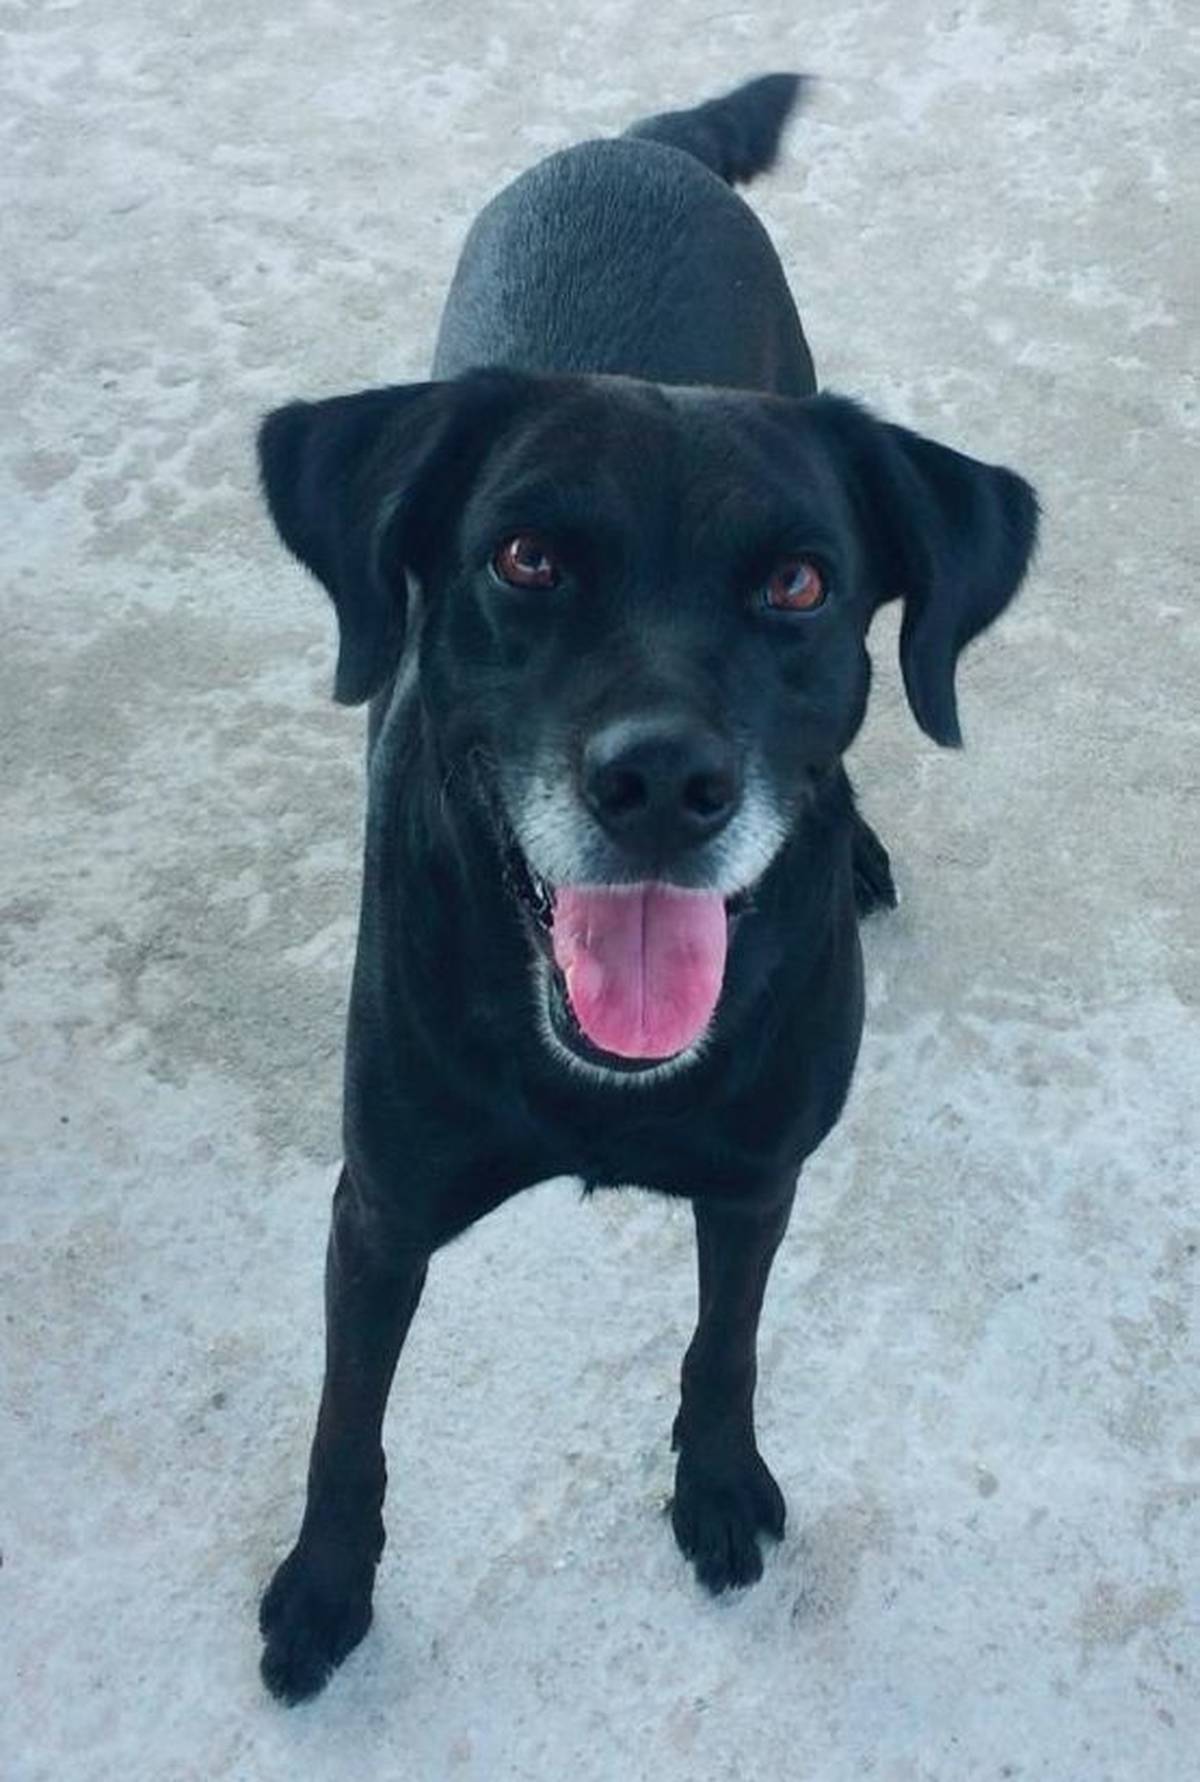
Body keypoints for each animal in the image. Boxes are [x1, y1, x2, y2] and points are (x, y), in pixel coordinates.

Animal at [255, 74, 1038, 1702]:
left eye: (800, 585)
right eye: (525, 558)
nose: (666, 785)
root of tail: (641, 145)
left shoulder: (756, 1177)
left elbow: (724, 1345)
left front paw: (719, 1484)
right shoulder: (381, 1207)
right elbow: (348, 1421)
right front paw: (324, 1587)